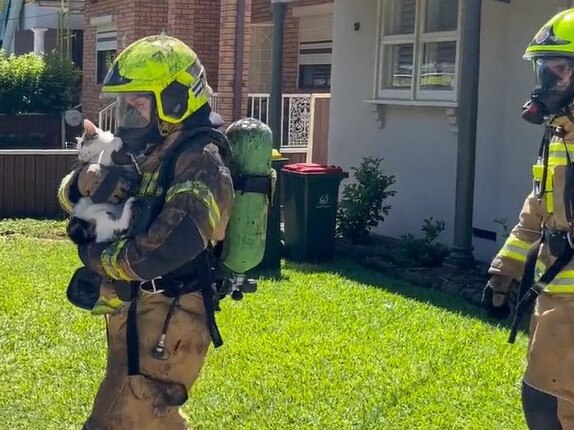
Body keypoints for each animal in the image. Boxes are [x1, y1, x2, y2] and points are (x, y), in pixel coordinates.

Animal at [57, 35, 235, 428]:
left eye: (82, 143)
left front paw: (115, 153)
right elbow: (96, 171)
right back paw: (129, 207)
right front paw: (98, 172)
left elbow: (115, 151)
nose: (80, 155)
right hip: (98, 216)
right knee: (116, 222)